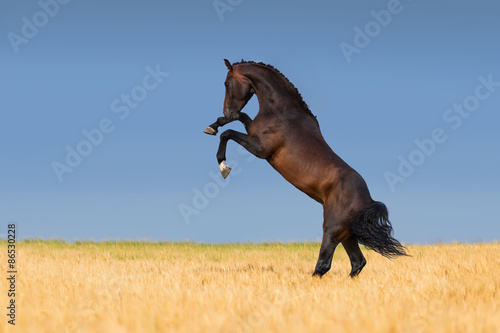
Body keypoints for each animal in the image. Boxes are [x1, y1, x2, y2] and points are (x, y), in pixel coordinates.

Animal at [203, 59, 406, 274]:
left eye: (226, 83)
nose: (227, 110)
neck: (282, 112)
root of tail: (367, 200)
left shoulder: (261, 149)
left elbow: (228, 133)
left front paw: (223, 166)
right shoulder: (252, 131)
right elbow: (240, 118)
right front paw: (214, 125)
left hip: (332, 230)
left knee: (324, 264)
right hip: (347, 235)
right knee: (357, 262)